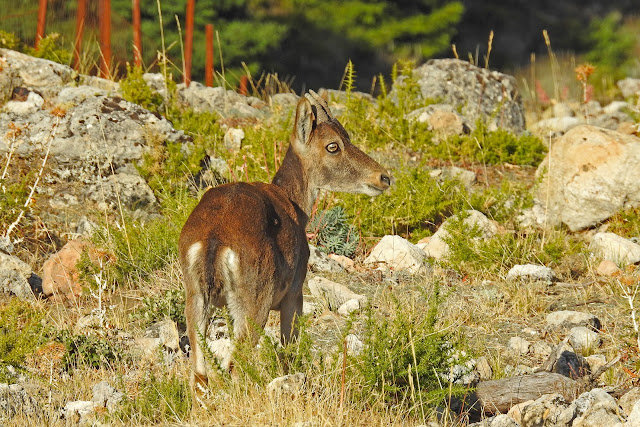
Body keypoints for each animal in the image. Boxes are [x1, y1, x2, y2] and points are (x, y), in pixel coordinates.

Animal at [178, 90, 392, 391]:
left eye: (347, 135)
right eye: (332, 146)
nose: (383, 177)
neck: (295, 205)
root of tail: (213, 242)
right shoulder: (295, 292)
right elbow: (289, 350)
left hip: (196, 297)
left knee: (199, 373)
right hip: (255, 300)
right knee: (235, 365)